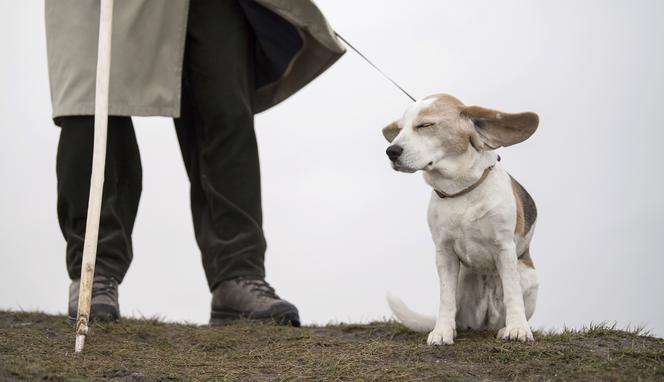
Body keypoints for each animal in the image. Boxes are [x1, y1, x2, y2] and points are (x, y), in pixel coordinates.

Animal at [384, 94, 540, 344]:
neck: (460, 190)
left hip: (528, 275)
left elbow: (511, 292)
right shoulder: (444, 252)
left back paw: (505, 327)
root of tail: (485, 322)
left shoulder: (504, 249)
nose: (391, 151)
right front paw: (442, 332)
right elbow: (445, 298)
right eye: (399, 129)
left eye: (425, 125)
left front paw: (518, 329)